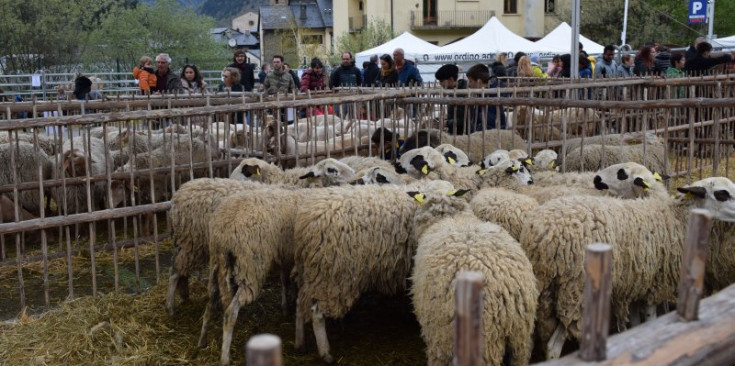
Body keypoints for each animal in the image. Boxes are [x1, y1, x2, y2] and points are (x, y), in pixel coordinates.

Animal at [292, 184, 420, 362]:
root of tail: (305, 222)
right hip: (331, 276)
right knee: (316, 313)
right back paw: (325, 353)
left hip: (309, 272)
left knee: (299, 303)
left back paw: (300, 344)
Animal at [520, 176, 735, 358]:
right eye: (722, 194)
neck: (676, 219)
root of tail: (542, 233)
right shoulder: (655, 284)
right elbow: (650, 321)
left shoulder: (636, 284)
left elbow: (636, 324)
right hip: (574, 292)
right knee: (553, 347)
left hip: (546, 290)